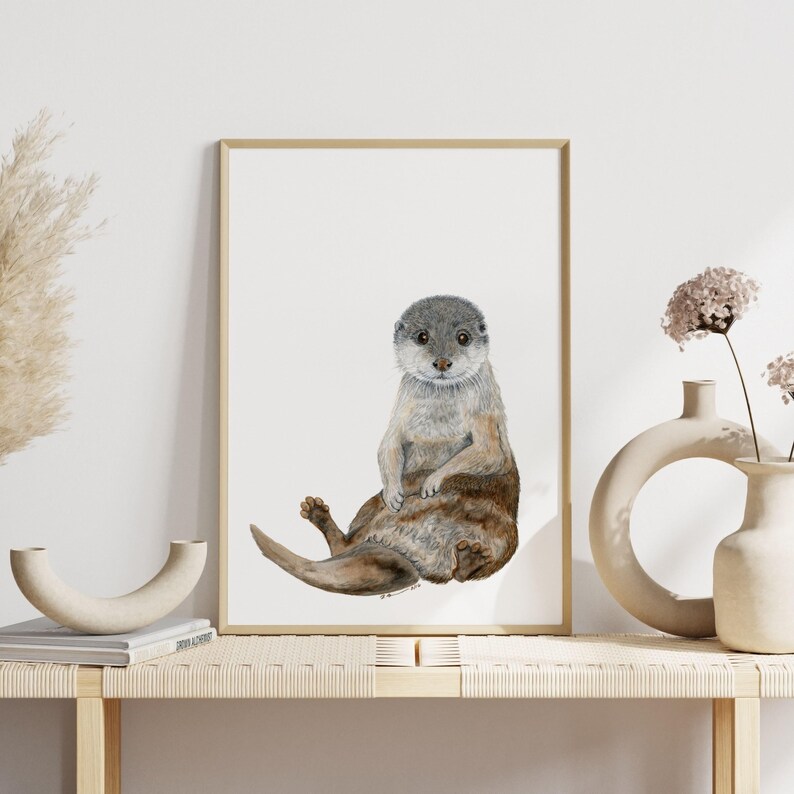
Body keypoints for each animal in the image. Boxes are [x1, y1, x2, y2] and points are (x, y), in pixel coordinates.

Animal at [250, 294, 520, 596]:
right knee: (344, 545)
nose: (442, 362)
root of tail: (412, 557)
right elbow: (389, 443)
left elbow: (491, 452)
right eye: (422, 336)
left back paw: (469, 558)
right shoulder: (402, 404)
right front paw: (394, 492)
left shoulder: (483, 407)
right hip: (370, 504)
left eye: (463, 337)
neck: (438, 411)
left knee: (462, 574)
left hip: (507, 535)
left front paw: (433, 481)